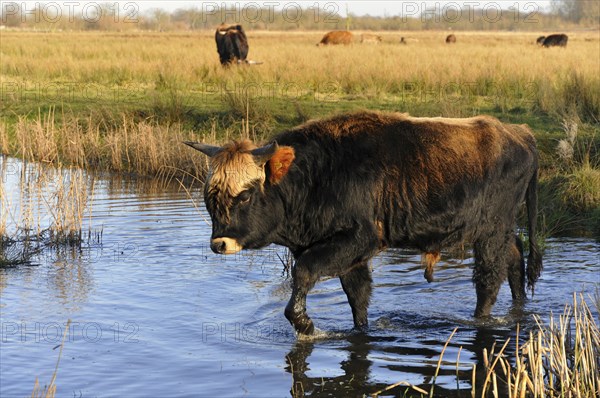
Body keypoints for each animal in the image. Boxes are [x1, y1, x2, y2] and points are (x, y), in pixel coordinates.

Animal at [184, 109, 544, 336]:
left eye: (245, 195)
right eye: (209, 196)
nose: (220, 243)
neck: (316, 175)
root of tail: (520, 133)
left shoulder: (359, 239)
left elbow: (304, 272)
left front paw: (304, 324)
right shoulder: (348, 253)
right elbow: (357, 297)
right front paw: (360, 330)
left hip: (491, 231)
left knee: (489, 278)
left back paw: (481, 320)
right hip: (501, 229)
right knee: (515, 258)